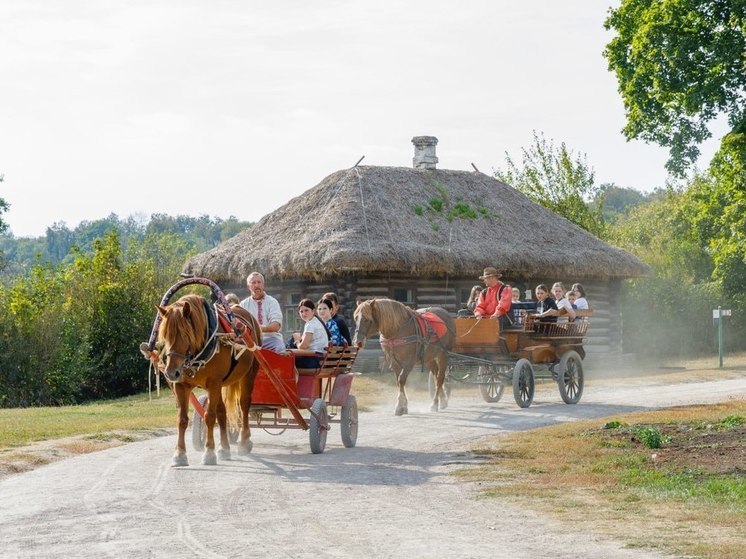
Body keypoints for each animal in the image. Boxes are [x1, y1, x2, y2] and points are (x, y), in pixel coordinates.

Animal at [154, 296, 262, 466]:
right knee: (222, 412)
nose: (171, 373)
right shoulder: (181, 385)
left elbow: (210, 417)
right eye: (165, 336)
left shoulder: (214, 384)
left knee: (244, 404)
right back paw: (224, 448)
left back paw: (244, 442)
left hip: (248, 374)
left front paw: (209, 452)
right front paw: (180, 454)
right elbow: (182, 419)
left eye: (186, 334)